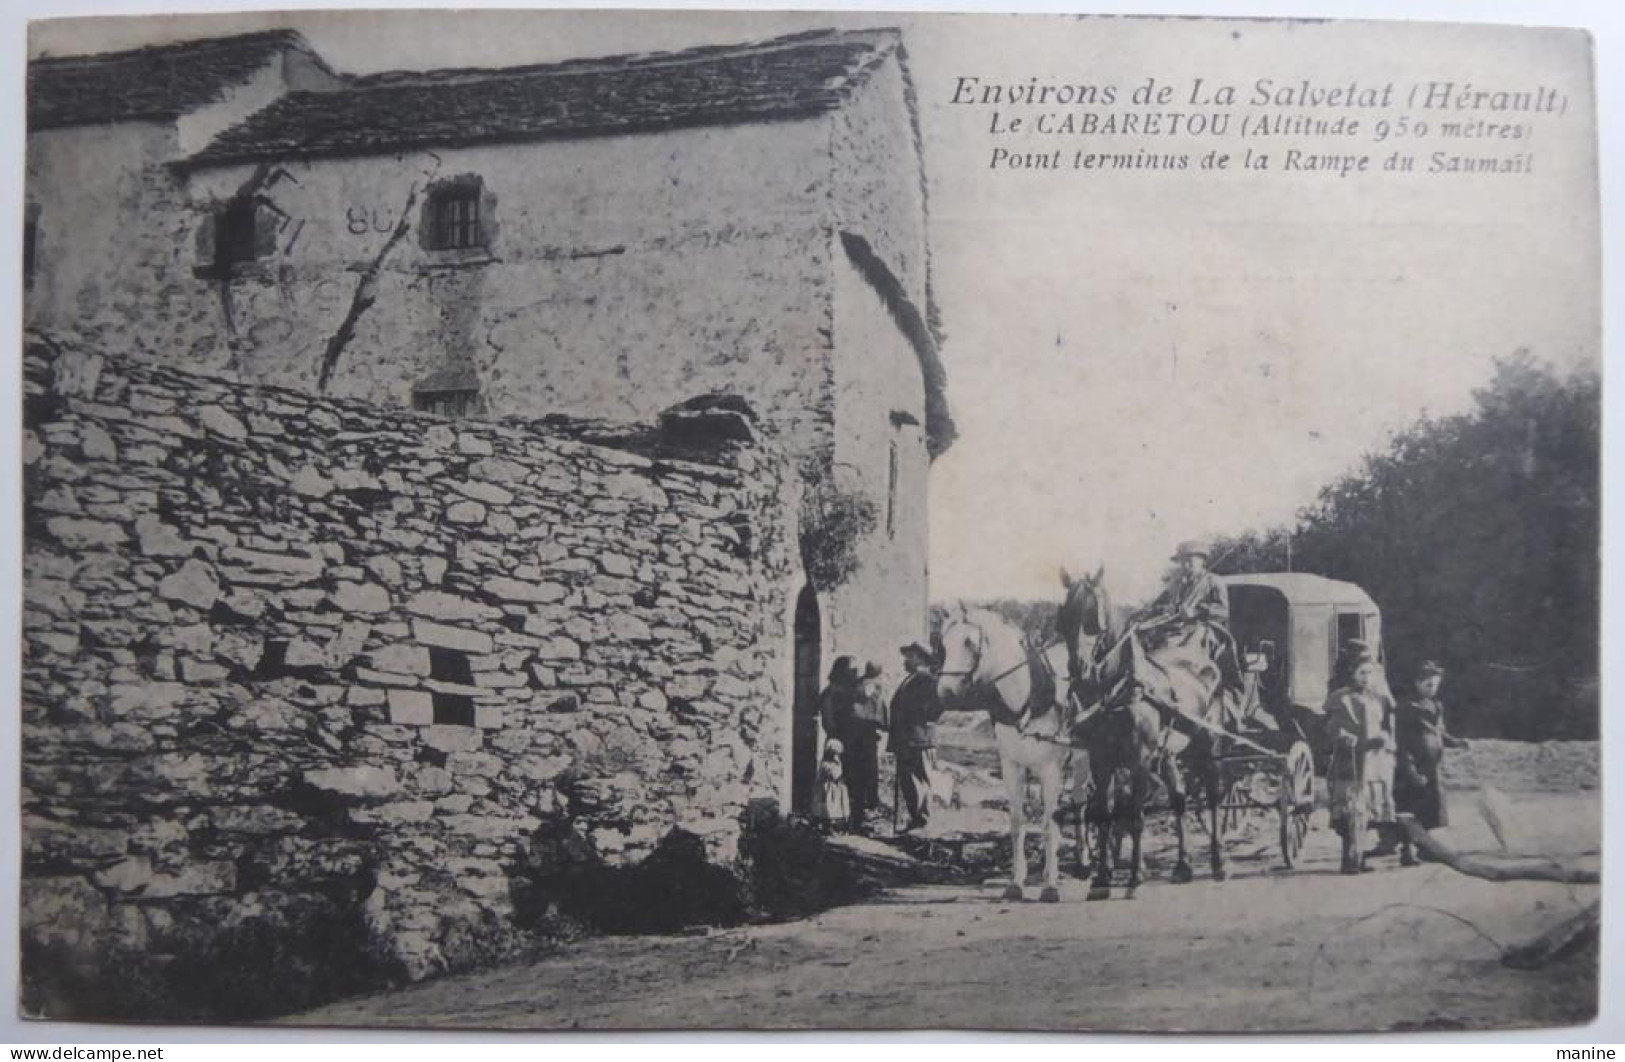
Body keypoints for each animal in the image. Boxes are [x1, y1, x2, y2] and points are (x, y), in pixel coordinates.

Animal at [942, 607, 1079, 909]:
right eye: (943, 643)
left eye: (969, 642)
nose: (944, 692)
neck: (1026, 700)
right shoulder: (1011, 766)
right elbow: (1017, 823)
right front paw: (1016, 883)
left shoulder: (1051, 770)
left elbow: (1048, 825)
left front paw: (1050, 886)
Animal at [1059, 571, 1222, 896]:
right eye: (1065, 615)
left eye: (1095, 618)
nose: (1079, 668)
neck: (1119, 689)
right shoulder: (1101, 760)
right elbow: (1105, 813)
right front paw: (1101, 879)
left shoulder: (1139, 760)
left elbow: (1135, 815)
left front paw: (1134, 877)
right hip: (1169, 754)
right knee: (1179, 798)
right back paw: (1183, 867)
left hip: (1206, 746)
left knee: (1211, 794)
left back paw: (1218, 863)